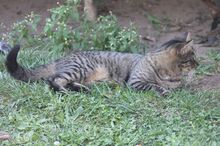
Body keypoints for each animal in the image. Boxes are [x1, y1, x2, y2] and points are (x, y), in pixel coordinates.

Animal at [5, 34, 198, 96]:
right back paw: (67, 91)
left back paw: (82, 89)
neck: (171, 73)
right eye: (192, 58)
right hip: (79, 69)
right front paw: (164, 90)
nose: (198, 64)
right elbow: (153, 86)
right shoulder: (136, 82)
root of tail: (63, 58)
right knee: (53, 81)